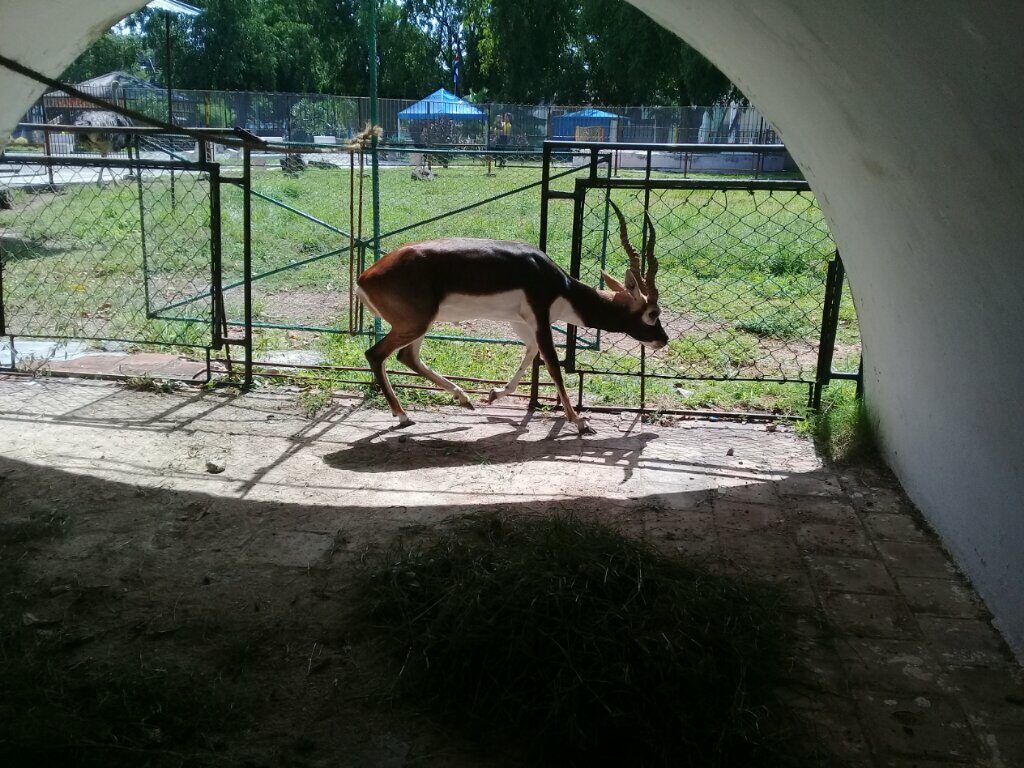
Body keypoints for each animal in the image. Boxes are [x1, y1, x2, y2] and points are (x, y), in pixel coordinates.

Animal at [356, 201, 667, 436]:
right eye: (653, 313)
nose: (663, 340)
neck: (558, 284)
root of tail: (364, 278)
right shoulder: (541, 317)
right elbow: (552, 365)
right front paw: (579, 421)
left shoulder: (520, 322)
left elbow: (530, 354)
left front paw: (495, 394)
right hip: (415, 323)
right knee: (375, 354)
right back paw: (403, 416)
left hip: (421, 324)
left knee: (407, 357)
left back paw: (464, 399)